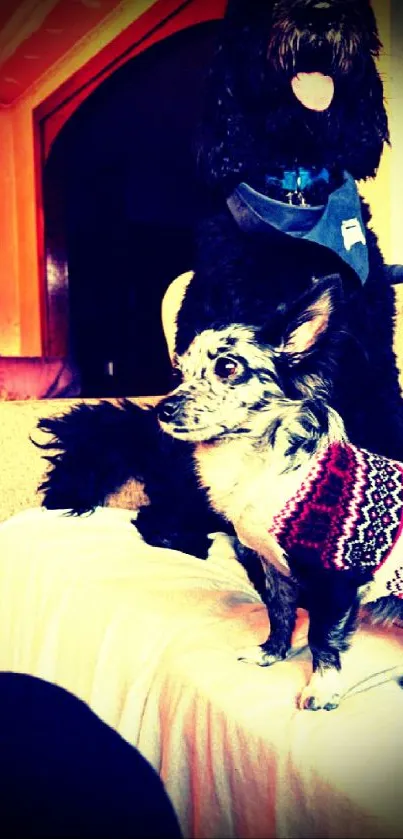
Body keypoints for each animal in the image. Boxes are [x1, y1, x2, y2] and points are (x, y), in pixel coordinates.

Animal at [38, 0, 403, 568]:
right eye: (261, 9)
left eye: (355, 9)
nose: (321, 13)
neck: (296, 200)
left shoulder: (371, 363)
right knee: (167, 503)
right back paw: (182, 532)